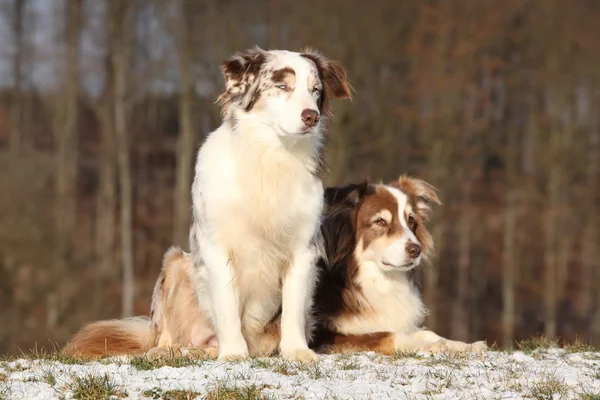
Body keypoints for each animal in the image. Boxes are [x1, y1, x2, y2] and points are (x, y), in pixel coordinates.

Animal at [64, 177, 488, 358]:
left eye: (411, 220)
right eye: (380, 222)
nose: (415, 249)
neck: (366, 277)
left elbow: (427, 333)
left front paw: (464, 345)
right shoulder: (327, 335)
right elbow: (392, 336)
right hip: (179, 260)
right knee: (166, 343)